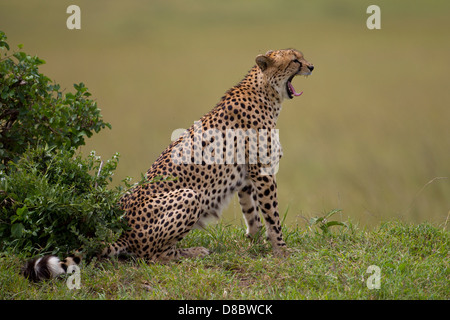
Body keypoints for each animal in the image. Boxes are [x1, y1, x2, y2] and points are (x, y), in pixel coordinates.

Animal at [23, 48, 312, 280]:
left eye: (301, 56)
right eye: (295, 60)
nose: (311, 66)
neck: (265, 91)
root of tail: (124, 229)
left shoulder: (247, 176)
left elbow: (252, 215)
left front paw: (253, 243)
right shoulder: (263, 172)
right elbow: (272, 216)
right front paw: (282, 250)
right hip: (190, 196)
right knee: (151, 255)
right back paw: (192, 252)